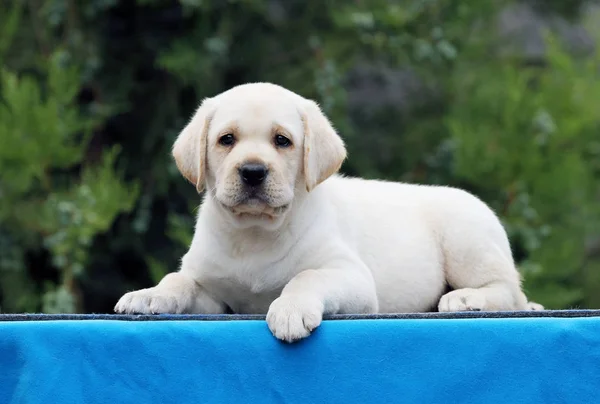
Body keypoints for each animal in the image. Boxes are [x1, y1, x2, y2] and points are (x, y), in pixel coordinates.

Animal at [116, 83, 544, 342]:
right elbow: (179, 280)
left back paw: (466, 298)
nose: (252, 171)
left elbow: (306, 277)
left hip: (467, 240)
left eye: (282, 141)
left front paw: (289, 310)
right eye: (226, 140)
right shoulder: (216, 296)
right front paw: (149, 295)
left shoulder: (351, 277)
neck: (255, 234)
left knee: (509, 291)